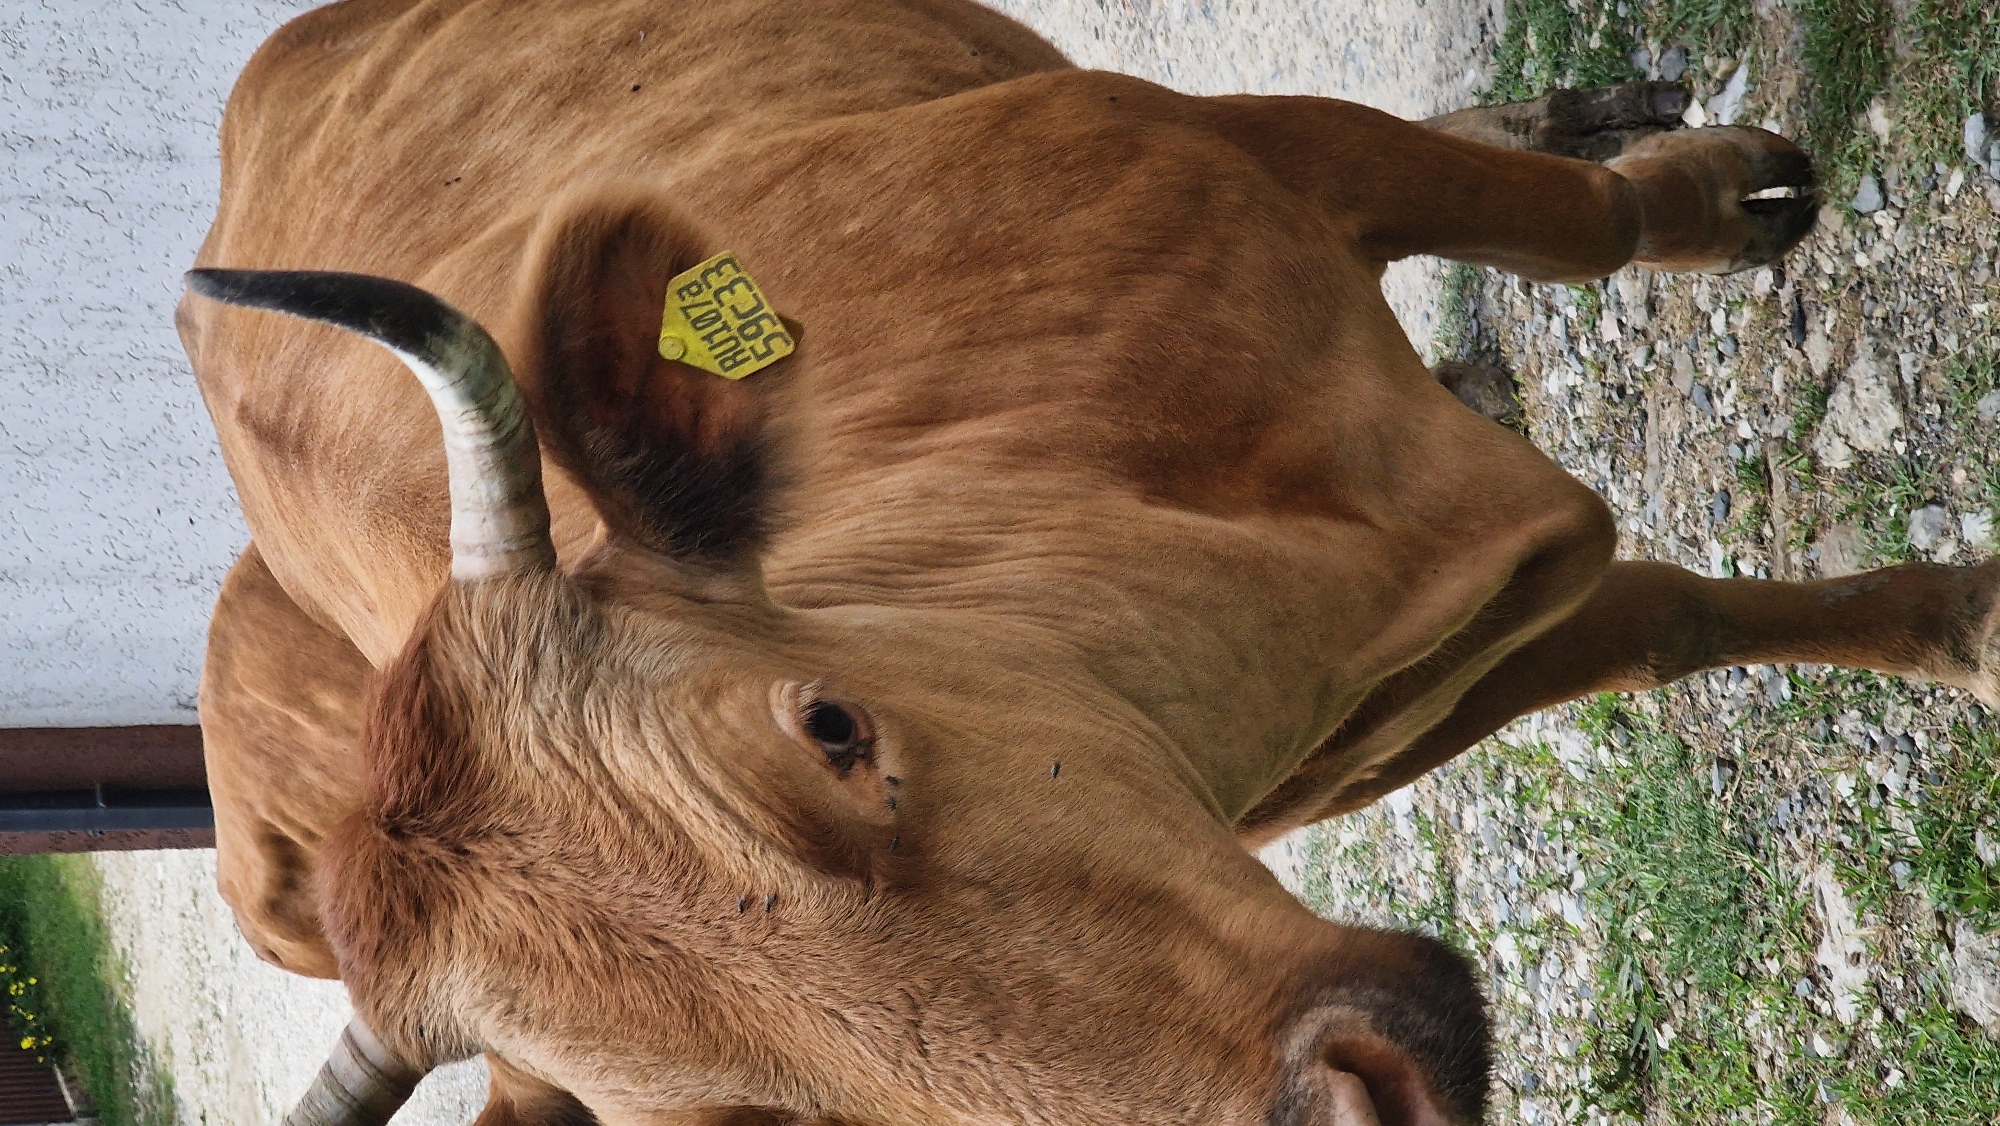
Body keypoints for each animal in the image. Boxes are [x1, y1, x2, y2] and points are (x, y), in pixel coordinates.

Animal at [172, 0, 1991, 1123]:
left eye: (831, 726)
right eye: (769, 1115)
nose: (1332, 1106)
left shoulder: (1260, 143)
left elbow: (1582, 240)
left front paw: (1718, 204)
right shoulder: (1435, 667)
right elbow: (1663, 621)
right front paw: (1957, 620)